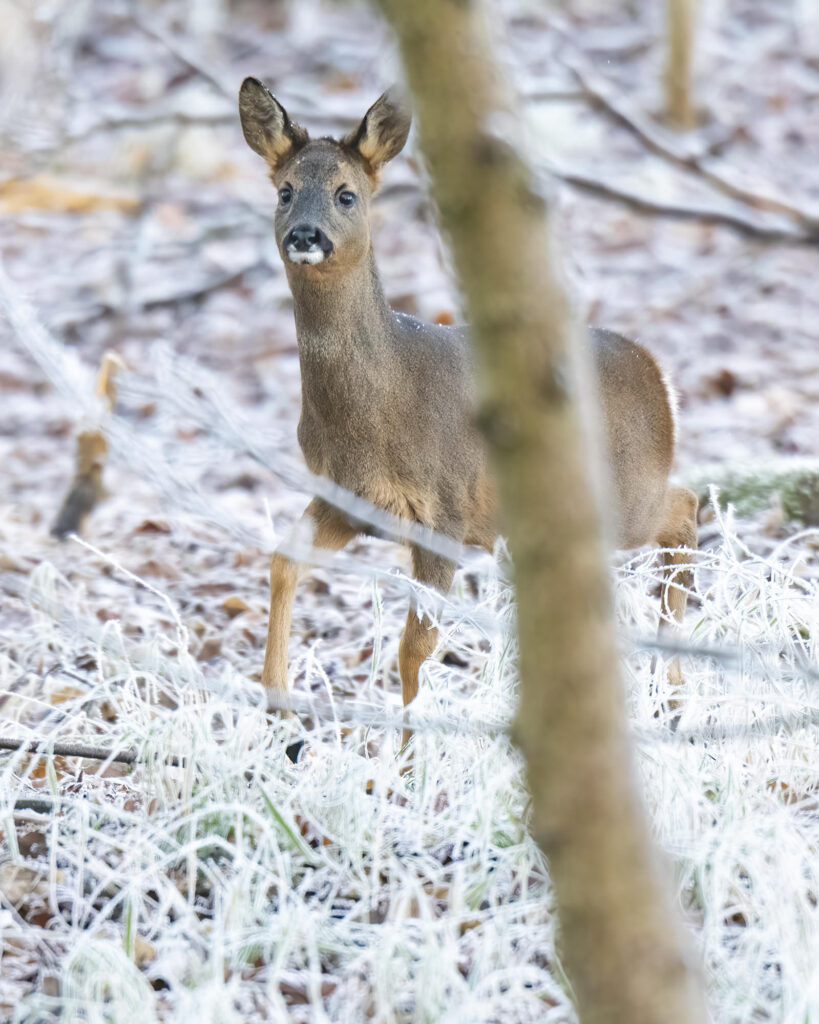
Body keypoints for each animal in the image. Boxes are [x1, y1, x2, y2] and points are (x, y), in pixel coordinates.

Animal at [236, 74, 696, 745]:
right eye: (285, 191)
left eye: (347, 195)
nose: (304, 235)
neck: (376, 411)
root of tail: (659, 374)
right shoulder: (344, 498)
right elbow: (281, 562)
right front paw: (279, 713)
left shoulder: (444, 508)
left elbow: (414, 646)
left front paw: (405, 756)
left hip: (628, 496)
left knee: (686, 508)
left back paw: (676, 693)